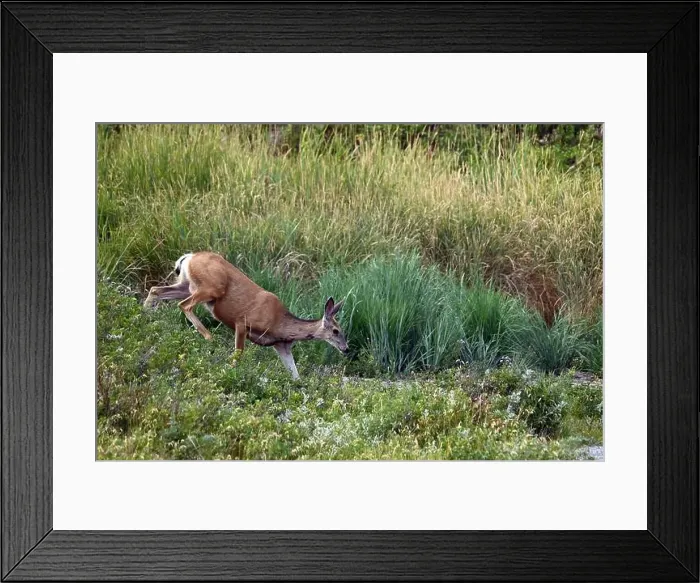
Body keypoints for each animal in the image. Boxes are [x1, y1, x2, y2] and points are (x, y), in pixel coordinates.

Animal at [143, 251, 349, 380]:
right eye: (336, 330)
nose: (346, 349)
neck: (280, 324)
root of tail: (189, 257)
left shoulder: (281, 346)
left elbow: (296, 375)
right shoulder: (242, 323)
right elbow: (238, 355)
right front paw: (230, 373)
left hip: (186, 285)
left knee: (156, 290)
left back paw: (143, 316)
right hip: (211, 287)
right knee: (184, 305)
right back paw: (208, 336)